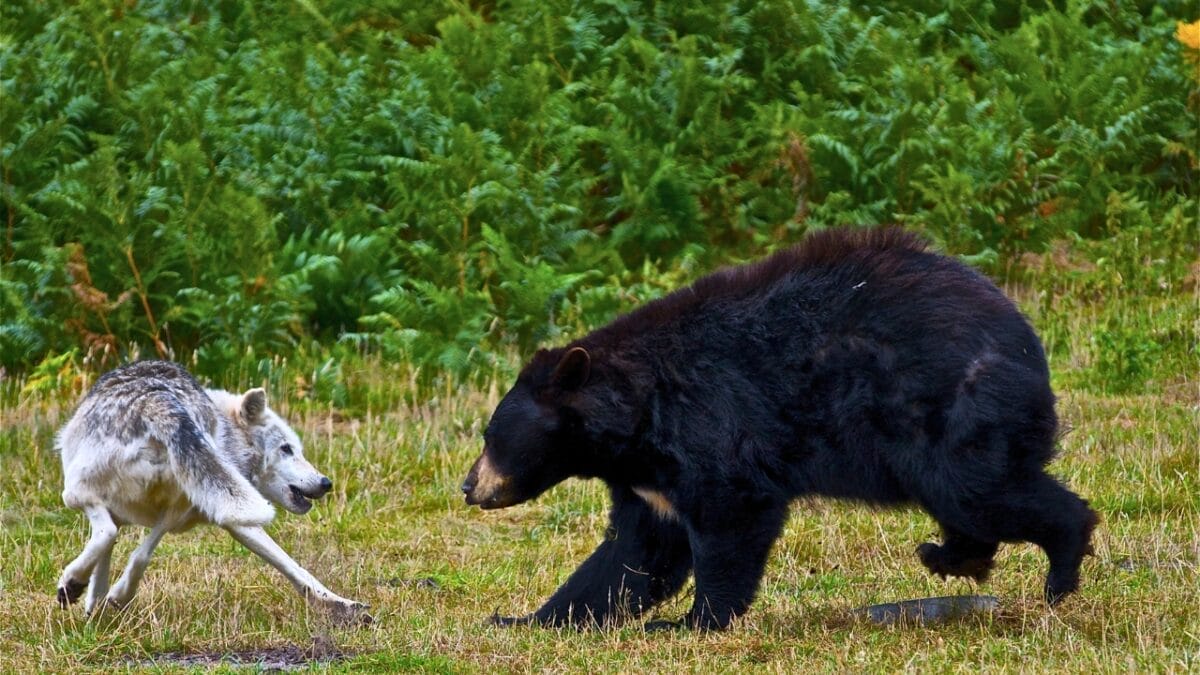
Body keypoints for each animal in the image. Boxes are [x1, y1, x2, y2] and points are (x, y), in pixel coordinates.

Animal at [55, 360, 366, 622]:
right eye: (287, 449)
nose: (326, 483)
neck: (227, 436)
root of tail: (157, 400)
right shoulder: (233, 517)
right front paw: (96, 608)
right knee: (124, 544)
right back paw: (87, 587)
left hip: (85, 493)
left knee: (116, 539)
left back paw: (78, 584)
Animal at [462, 226, 1098, 631]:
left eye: (490, 438)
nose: (468, 486)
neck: (636, 419)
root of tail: (1027, 341)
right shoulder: (650, 481)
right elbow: (632, 555)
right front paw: (525, 617)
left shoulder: (709, 428)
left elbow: (732, 517)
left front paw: (691, 621)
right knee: (970, 505)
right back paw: (950, 557)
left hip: (950, 412)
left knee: (981, 492)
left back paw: (1059, 572)